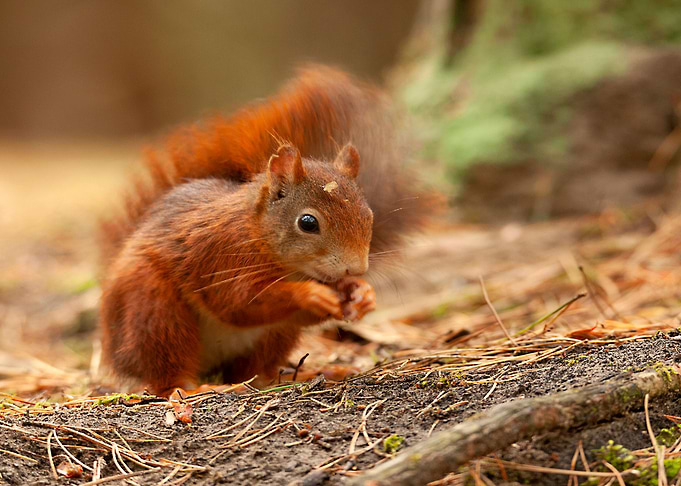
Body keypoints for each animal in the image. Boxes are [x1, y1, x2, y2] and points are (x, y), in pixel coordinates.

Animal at [98, 66, 435, 397]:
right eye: (308, 223)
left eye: (368, 215)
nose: (356, 269)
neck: (261, 235)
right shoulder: (221, 256)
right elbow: (239, 302)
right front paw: (309, 293)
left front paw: (362, 294)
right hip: (155, 310)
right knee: (165, 371)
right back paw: (190, 388)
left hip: (275, 336)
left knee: (255, 371)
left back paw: (304, 374)